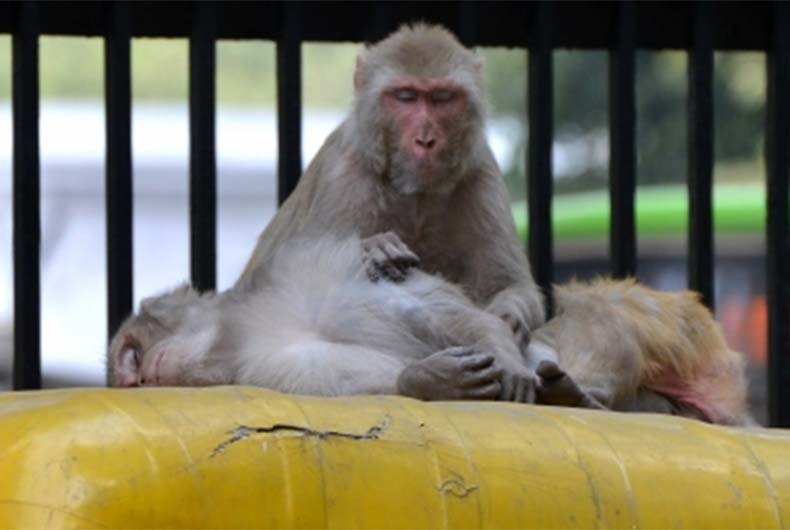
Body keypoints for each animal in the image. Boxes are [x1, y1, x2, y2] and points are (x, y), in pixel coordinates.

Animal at [108, 236, 750, 426]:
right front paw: (433, 381)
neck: (243, 330)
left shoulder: (314, 266)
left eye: (128, 353)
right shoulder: (261, 366)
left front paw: (507, 363)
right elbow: (353, 380)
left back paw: (575, 391)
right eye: (125, 375)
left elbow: (436, 312)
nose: (131, 378)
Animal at [233, 23, 544, 359]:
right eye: (406, 97)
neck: (416, 192)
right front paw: (376, 247)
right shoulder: (343, 177)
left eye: (442, 98)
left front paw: (510, 318)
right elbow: (289, 281)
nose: (425, 139)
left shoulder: (481, 173)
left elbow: (510, 286)